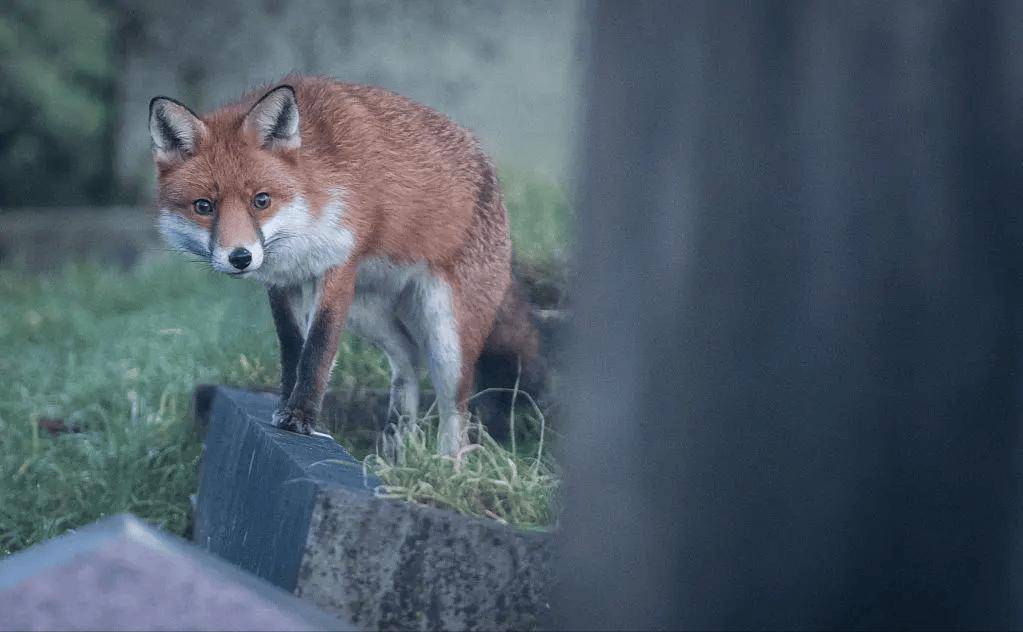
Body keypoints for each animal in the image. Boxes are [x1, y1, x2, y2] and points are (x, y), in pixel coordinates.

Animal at [151, 76, 540, 452]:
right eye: (204, 206)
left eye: (261, 200)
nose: (240, 257)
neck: (310, 205)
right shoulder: (283, 282)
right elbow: (292, 349)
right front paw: (286, 409)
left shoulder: (338, 267)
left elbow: (318, 350)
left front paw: (301, 418)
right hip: (367, 316)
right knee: (409, 363)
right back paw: (397, 455)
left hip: (446, 334)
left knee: (457, 411)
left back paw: (445, 466)